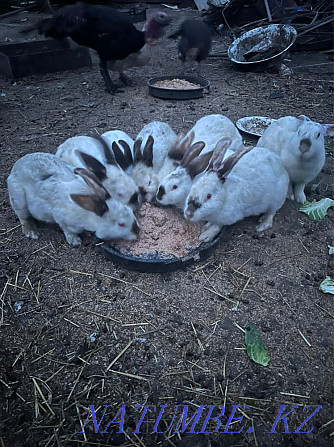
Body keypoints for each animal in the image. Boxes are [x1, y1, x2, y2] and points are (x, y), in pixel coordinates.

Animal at [7, 152, 140, 247]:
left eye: (130, 211)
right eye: (121, 224)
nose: (138, 231)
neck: (90, 214)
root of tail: (16, 166)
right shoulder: (60, 217)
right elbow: (67, 230)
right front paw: (75, 241)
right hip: (19, 201)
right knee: (23, 217)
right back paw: (31, 232)